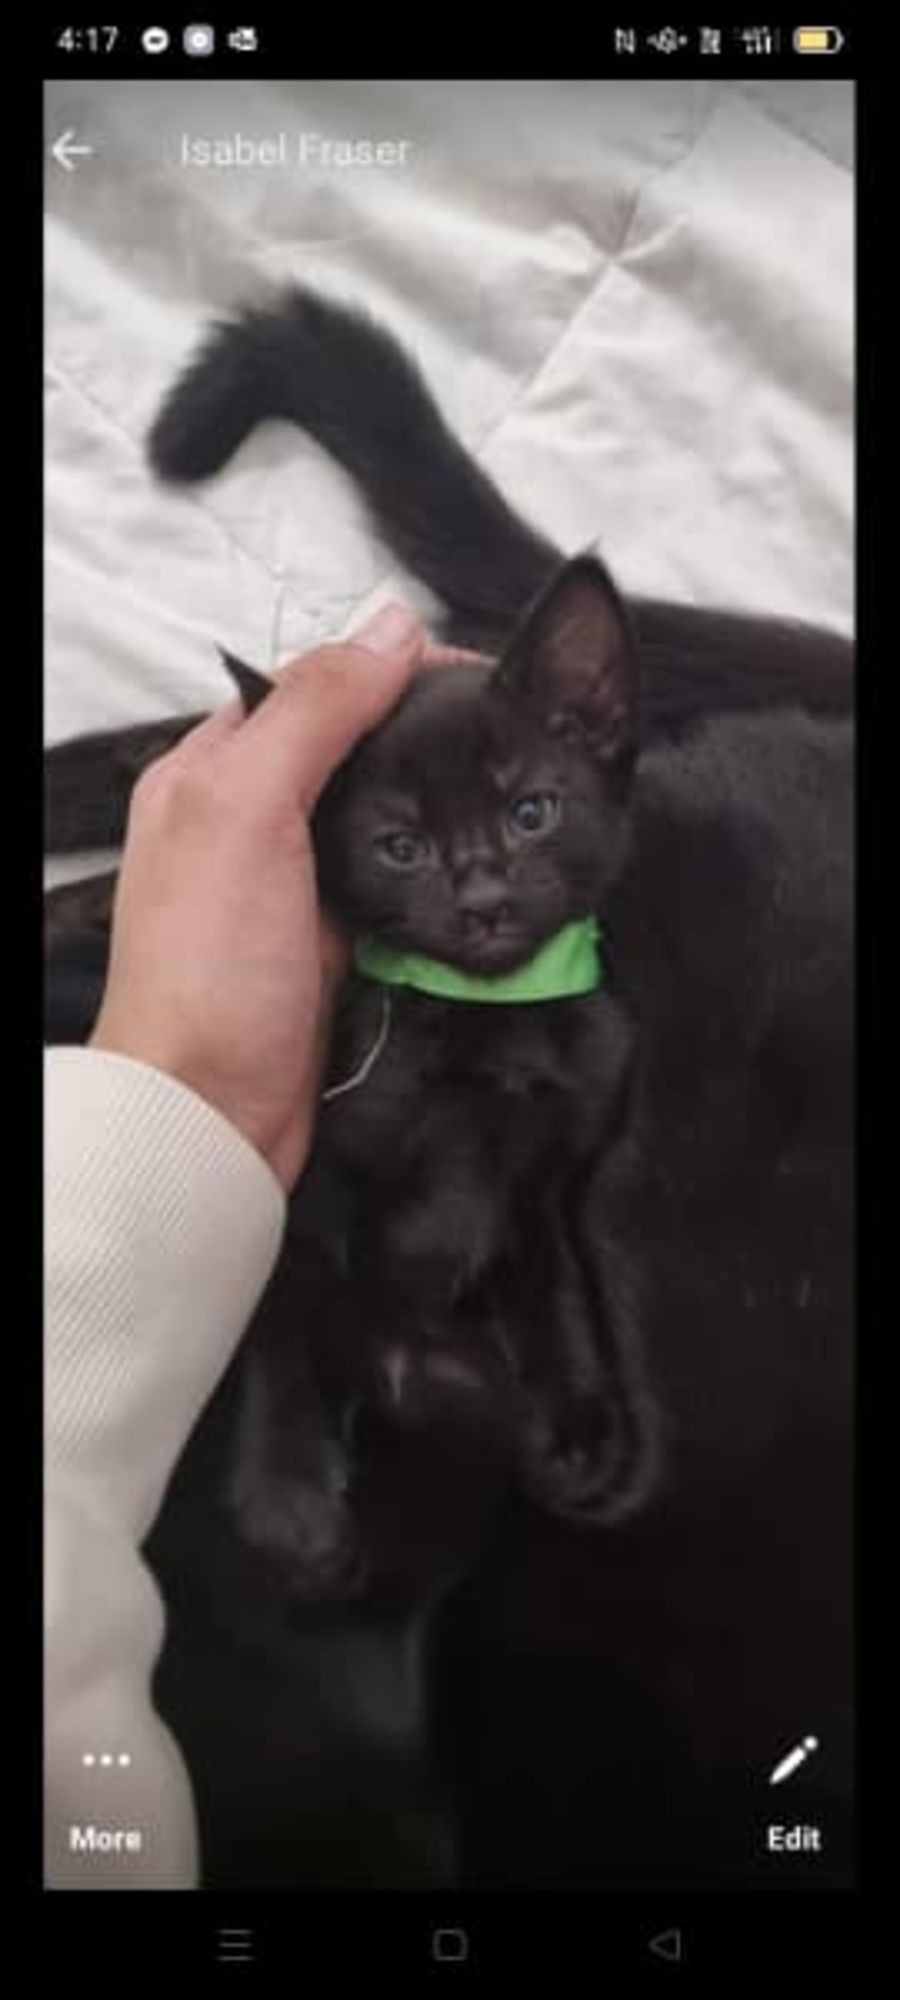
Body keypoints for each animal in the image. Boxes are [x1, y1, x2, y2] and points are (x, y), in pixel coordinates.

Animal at [45, 288, 854, 1889]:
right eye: (404, 843)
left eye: (531, 811)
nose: (480, 891)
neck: (478, 1046)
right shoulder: (315, 1174)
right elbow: (284, 1304)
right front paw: (291, 1497)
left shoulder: (563, 1159)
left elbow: (552, 1277)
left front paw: (588, 1426)